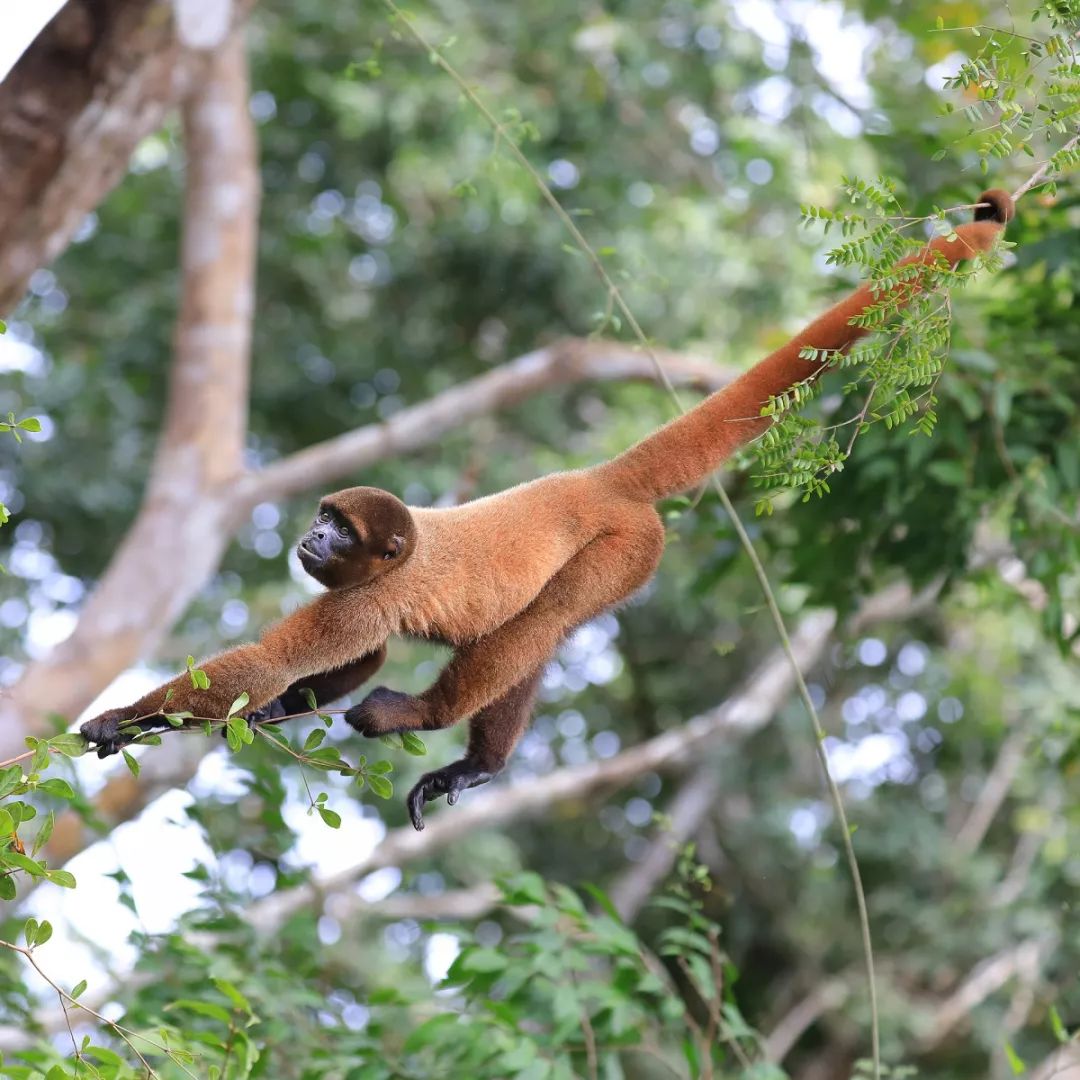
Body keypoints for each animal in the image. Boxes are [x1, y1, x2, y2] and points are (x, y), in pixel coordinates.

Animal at [82, 190, 1010, 825]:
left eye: (338, 528)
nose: (310, 534)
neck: (390, 558)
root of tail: (595, 482)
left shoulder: (365, 598)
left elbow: (277, 662)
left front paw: (126, 719)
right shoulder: (356, 602)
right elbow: (346, 662)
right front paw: (277, 710)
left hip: (627, 547)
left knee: (542, 623)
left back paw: (427, 720)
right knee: (538, 640)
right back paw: (479, 768)